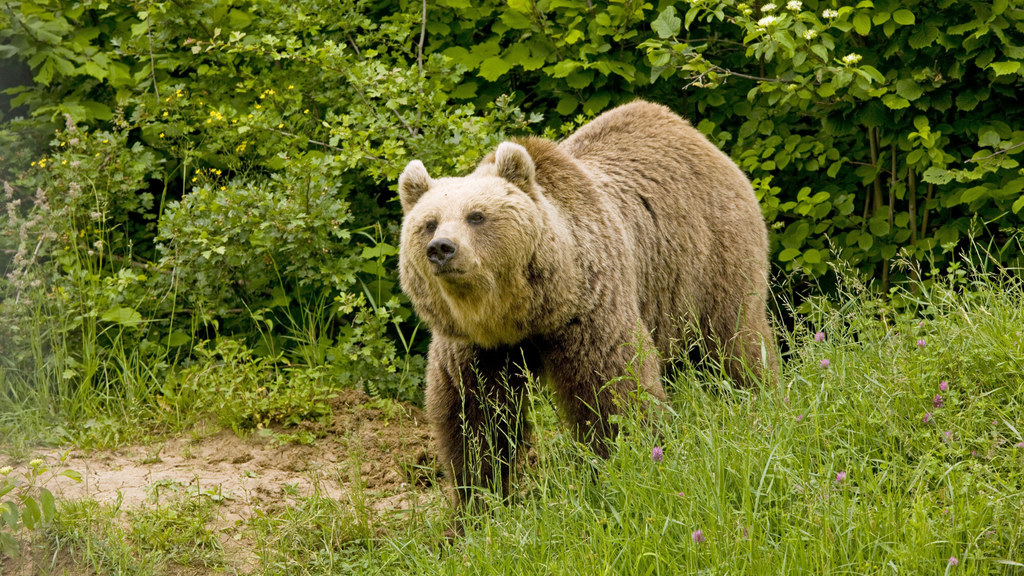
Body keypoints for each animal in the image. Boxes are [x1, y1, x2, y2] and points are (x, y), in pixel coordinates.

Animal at [395, 99, 770, 506]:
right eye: (429, 223)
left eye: (476, 216)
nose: (442, 248)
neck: (519, 313)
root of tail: (693, 135)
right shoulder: (474, 347)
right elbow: (474, 416)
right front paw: (479, 499)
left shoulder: (589, 309)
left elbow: (612, 391)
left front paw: (627, 469)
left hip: (713, 256)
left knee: (735, 342)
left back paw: (756, 402)